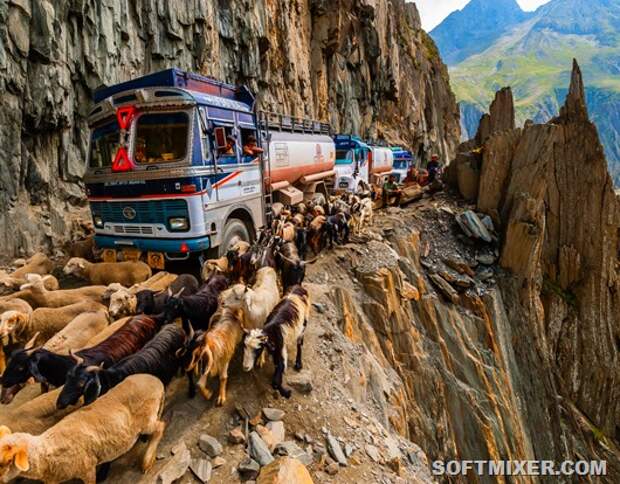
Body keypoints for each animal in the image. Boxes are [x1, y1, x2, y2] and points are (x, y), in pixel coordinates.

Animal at [0, 372, 166, 482]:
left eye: (6, 460)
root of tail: (156, 381)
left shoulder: (87, 468)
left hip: (146, 420)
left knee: (160, 427)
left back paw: (146, 462)